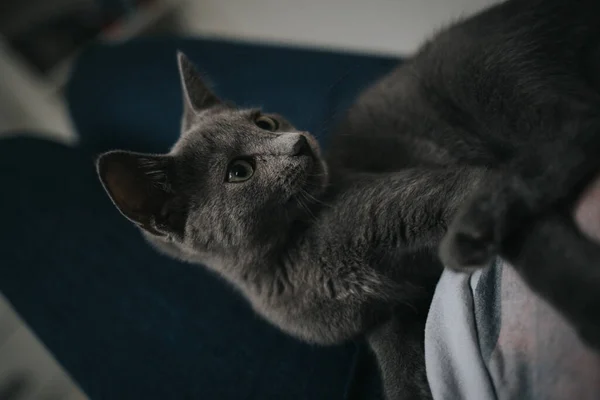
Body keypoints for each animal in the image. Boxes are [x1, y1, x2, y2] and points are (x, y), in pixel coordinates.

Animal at [96, 0, 600, 400]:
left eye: (265, 122)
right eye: (239, 171)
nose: (299, 142)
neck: (292, 260)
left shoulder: (445, 190)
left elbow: (531, 240)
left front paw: (584, 295)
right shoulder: (386, 319)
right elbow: (399, 370)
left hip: (484, 76)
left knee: (577, 128)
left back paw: (474, 230)